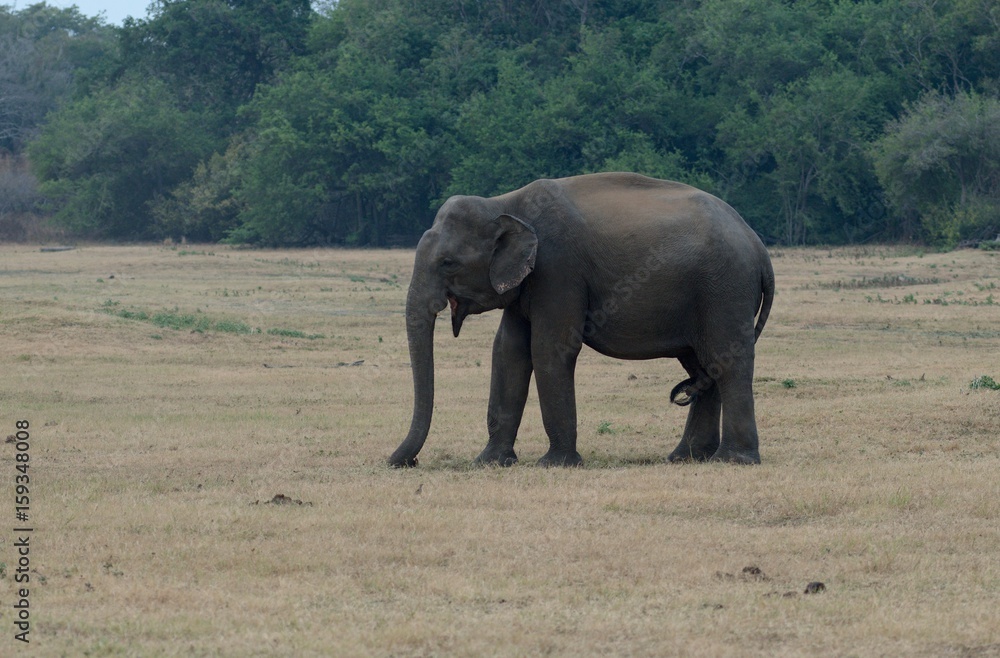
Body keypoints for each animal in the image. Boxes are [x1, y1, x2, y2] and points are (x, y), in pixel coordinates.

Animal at [389, 172, 774, 468]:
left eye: (448, 263)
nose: (404, 462)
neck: (504, 203)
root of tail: (758, 246)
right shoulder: (526, 282)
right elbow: (509, 351)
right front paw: (489, 462)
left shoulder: (558, 269)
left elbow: (549, 349)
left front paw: (554, 464)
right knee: (702, 366)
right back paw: (685, 458)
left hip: (724, 288)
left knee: (726, 362)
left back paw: (733, 460)